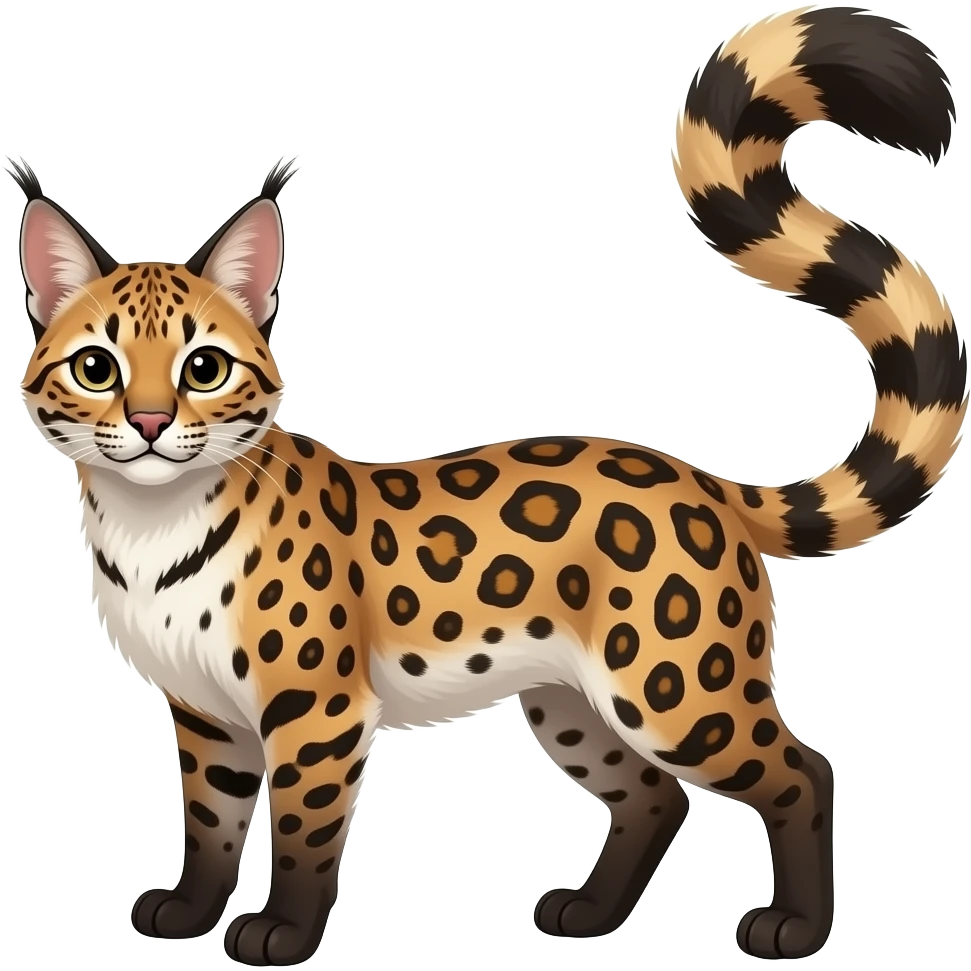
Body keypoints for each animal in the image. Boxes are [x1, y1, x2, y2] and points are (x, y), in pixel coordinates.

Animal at [8, 6, 967, 965]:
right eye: (97, 367)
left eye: (203, 368)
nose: (149, 421)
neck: (148, 529)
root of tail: (702, 479)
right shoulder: (207, 717)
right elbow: (207, 825)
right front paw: (187, 911)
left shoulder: (315, 713)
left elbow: (303, 831)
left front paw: (282, 929)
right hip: (569, 699)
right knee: (654, 794)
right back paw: (589, 912)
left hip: (675, 684)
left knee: (801, 772)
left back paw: (792, 927)